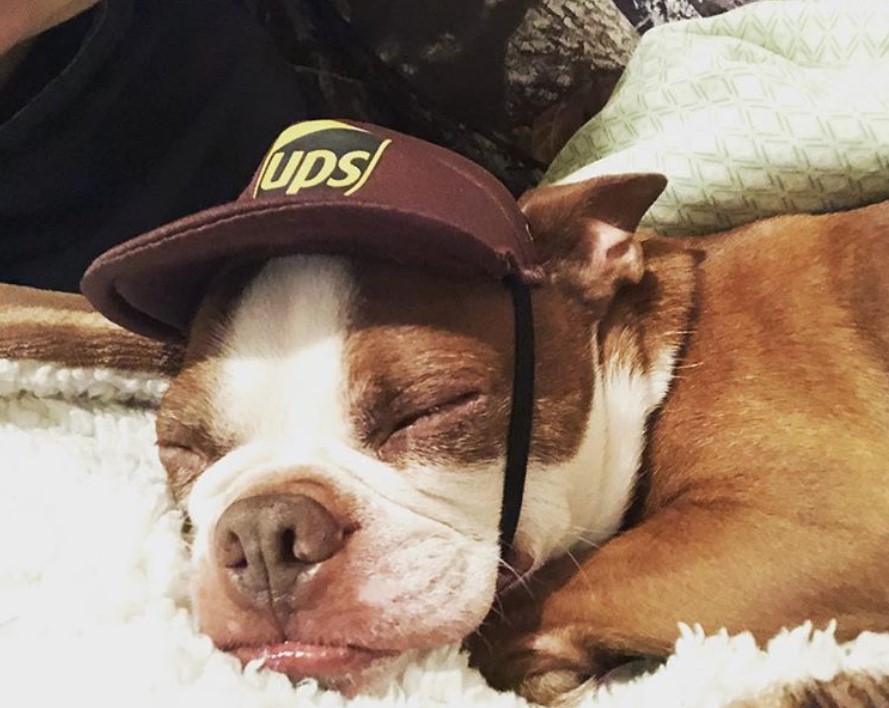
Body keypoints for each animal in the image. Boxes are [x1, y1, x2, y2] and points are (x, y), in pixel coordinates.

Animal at [80, 120, 884, 704]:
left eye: (434, 406)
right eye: (183, 449)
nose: (262, 531)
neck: (659, 361)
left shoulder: (810, 527)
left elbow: (524, 608)